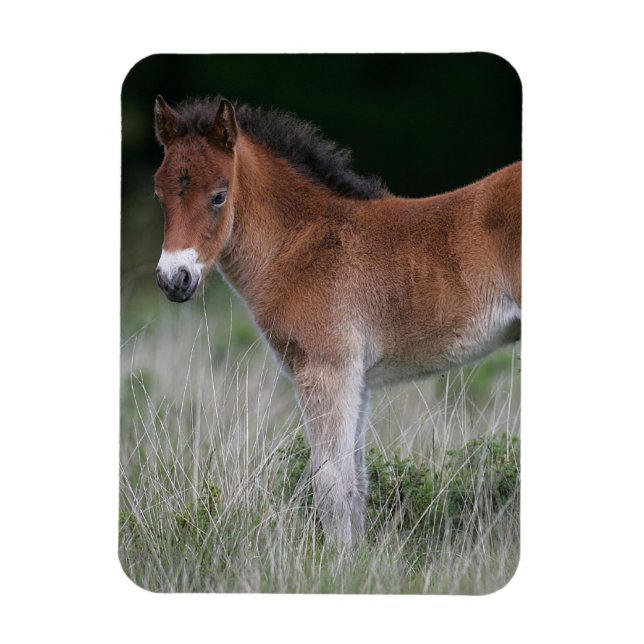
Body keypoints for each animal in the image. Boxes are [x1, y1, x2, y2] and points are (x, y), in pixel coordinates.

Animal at [152, 95, 521, 546]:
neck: (303, 244)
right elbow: (356, 483)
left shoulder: (327, 369)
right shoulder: (356, 379)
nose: (174, 279)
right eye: (158, 192)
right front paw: (355, 556)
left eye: (219, 196)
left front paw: (337, 559)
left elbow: (331, 483)